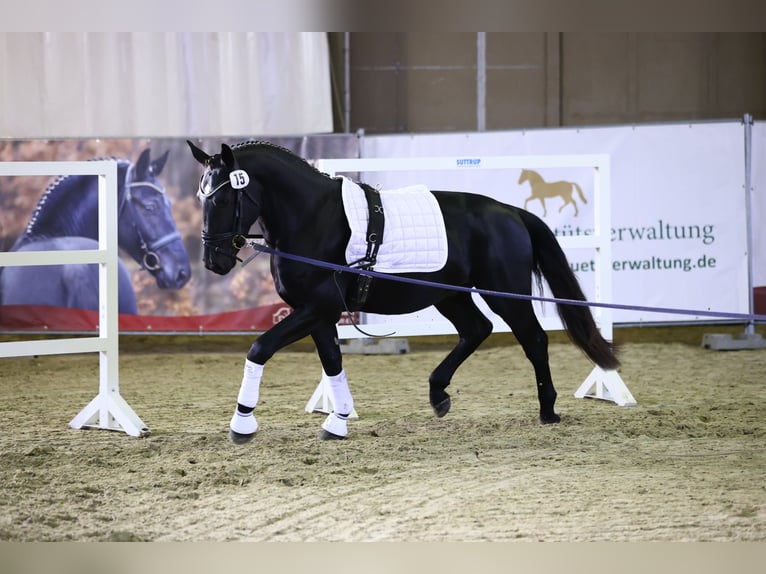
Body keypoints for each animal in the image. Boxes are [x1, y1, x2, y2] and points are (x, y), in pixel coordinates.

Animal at [189, 141, 620, 446]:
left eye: (223, 197)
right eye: (201, 197)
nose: (213, 261)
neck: (313, 218)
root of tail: (511, 212)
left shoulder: (315, 308)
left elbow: (259, 348)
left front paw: (242, 424)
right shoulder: (320, 313)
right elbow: (332, 362)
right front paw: (338, 422)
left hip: (505, 293)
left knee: (533, 339)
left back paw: (548, 410)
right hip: (450, 295)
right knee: (476, 329)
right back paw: (438, 394)